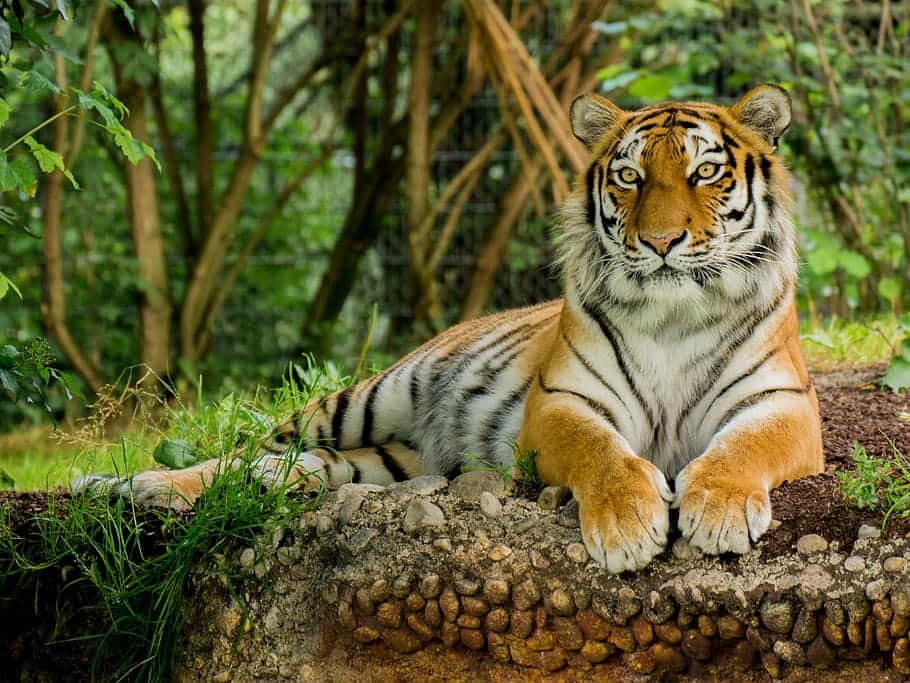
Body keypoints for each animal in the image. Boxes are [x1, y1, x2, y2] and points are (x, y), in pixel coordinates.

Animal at [75, 85, 823, 574]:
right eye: (630, 177)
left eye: (705, 172)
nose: (661, 242)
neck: (672, 314)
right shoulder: (561, 403)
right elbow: (602, 454)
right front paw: (629, 524)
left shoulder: (780, 404)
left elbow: (741, 449)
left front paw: (718, 509)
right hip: (362, 398)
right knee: (240, 453)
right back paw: (126, 486)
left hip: (391, 458)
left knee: (296, 466)